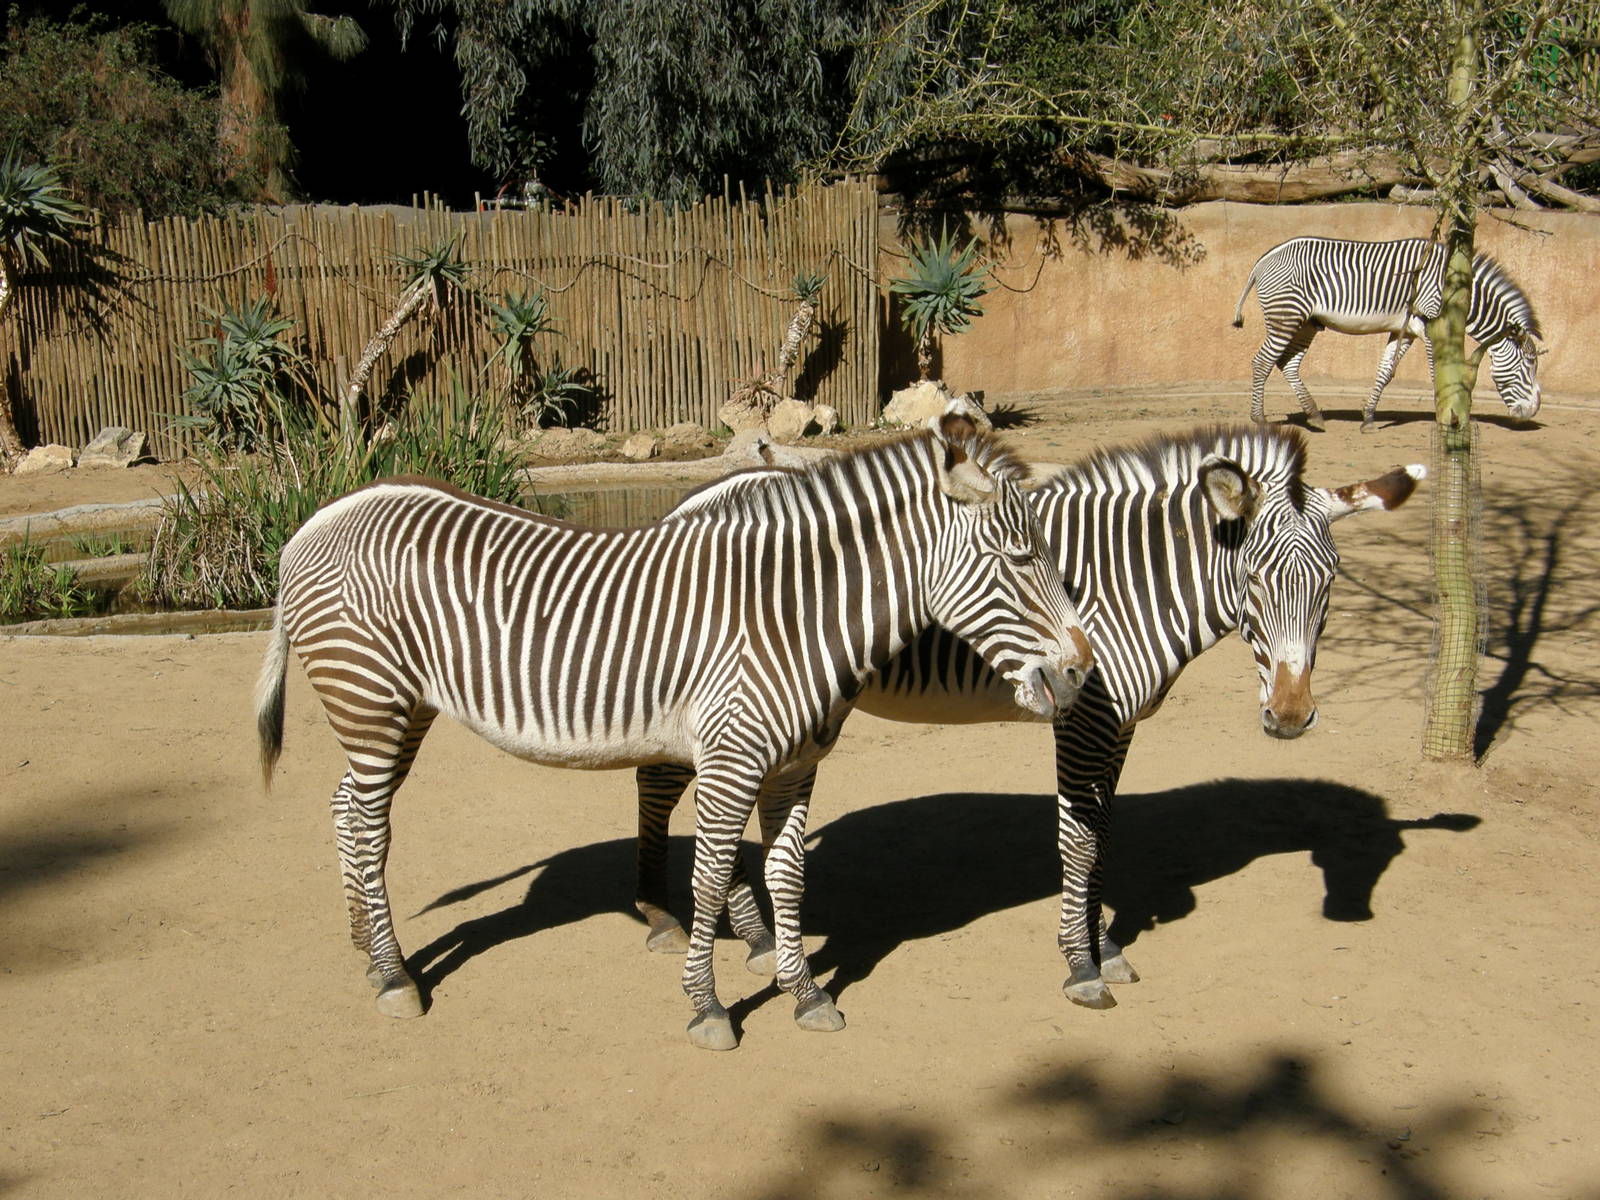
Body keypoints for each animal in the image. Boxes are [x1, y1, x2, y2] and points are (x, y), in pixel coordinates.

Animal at [254, 413, 1093, 1051]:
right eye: (1020, 556)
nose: (1081, 673)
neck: (794, 618)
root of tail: (316, 518)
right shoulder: (730, 760)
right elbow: (713, 877)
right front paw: (708, 1007)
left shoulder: (795, 768)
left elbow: (787, 875)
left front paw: (804, 992)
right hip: (371, 699)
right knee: (369, 828)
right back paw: (396, 974)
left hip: (398, 709)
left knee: (345, 810)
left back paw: (369, 951)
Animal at [633, 425, 1425, 1011]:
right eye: (1256, 579)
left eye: (1332, 583)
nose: (1290, 717)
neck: (1137, 581)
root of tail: (692, 499)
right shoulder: (1085, 719)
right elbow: (1078, 841)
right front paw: (1081, 966)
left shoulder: (1120, 726)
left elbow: (1105, 835)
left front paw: (1106, 946)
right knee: (658, 784)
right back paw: (668, 918)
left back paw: (754, 937)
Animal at [1233, 236, 1542, 431]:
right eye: (1528, 366)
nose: (1532, 413)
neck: (1456, 291)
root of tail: (1264, 259)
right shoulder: (1429, 322)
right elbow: (1437, 373)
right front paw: (1447, 415)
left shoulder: (1404, 329)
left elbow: (1385, 372)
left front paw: (1369, 418)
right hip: (1286, 317)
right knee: (1262, 362)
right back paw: (1259, 418)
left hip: (1307, 322)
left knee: (1287, 364)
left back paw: (1314, 415)